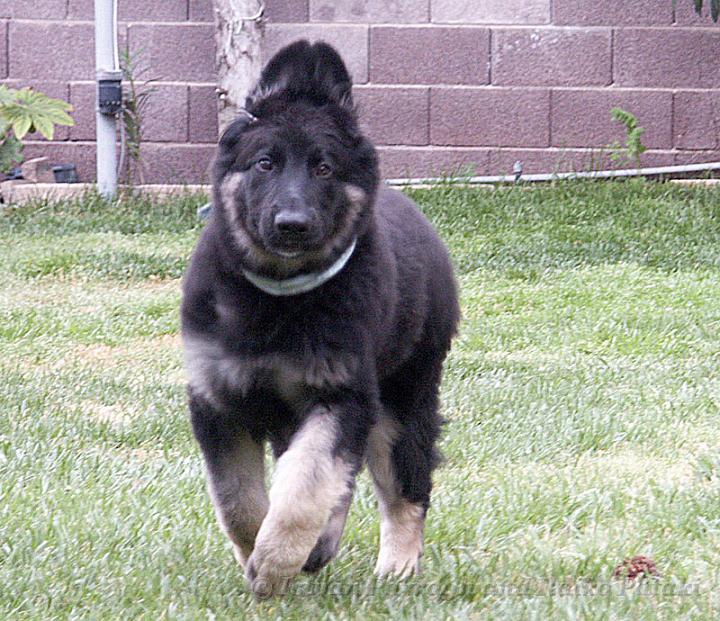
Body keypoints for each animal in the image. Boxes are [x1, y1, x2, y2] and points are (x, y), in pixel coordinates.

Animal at [183, 40, 458, 596]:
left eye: (324, 169)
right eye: (265, 163)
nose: (292, 225)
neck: (279, 299)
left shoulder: (342, 397)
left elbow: (305, 487)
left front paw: (274, 562)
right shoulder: (218, 401)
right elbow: (239, 500)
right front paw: (259, 555)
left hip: (401, 403)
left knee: (406, 489)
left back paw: (396, 566)